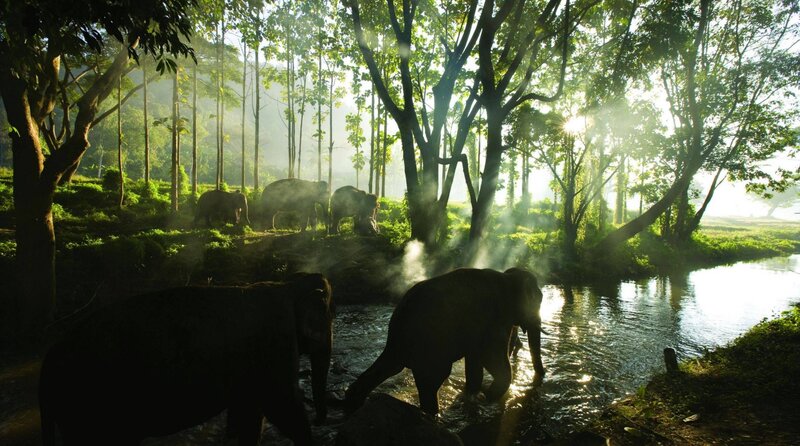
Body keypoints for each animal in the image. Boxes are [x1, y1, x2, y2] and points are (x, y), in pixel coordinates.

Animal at [39, 273, 334, 446]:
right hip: (88, 405)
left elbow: (249, 413)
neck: (286, 286)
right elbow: (281, 404)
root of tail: (50, 357)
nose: (321, 420)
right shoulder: (274, 340)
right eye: (327, 320)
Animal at [344, 268, 544, 415]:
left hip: (404, 346)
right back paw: (432, 415)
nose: (542, 376)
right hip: (431, 345)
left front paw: (475, 396)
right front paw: (489, 397)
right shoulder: (495, 319)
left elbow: (475, 361)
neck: (507, 277)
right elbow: (491, 358)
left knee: (391, 367)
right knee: (432, 380)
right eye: (539, 300)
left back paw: (352, 404)